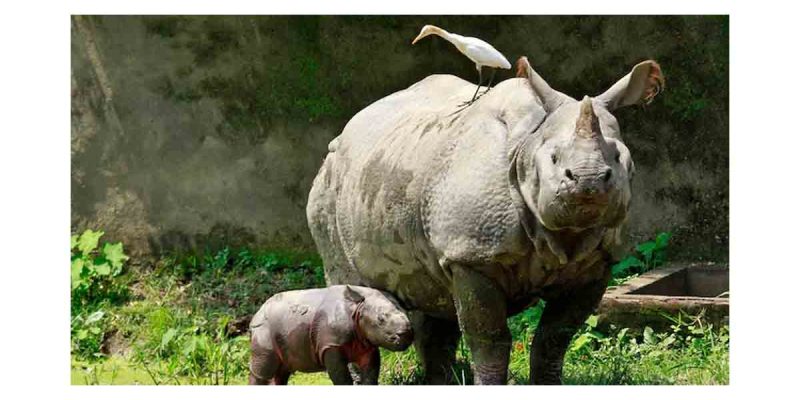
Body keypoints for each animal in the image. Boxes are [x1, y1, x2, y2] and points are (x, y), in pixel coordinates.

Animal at [306, 56, 664, 384]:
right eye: (553, 158)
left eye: (618, 157)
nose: (588, 181)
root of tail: (346, 130)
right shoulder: (472, 256)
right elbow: (489, 338)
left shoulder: (597, 264)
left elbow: (555, 337)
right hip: (328, 186)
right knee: (352, 284)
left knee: (434, 297)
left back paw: (441, 381)